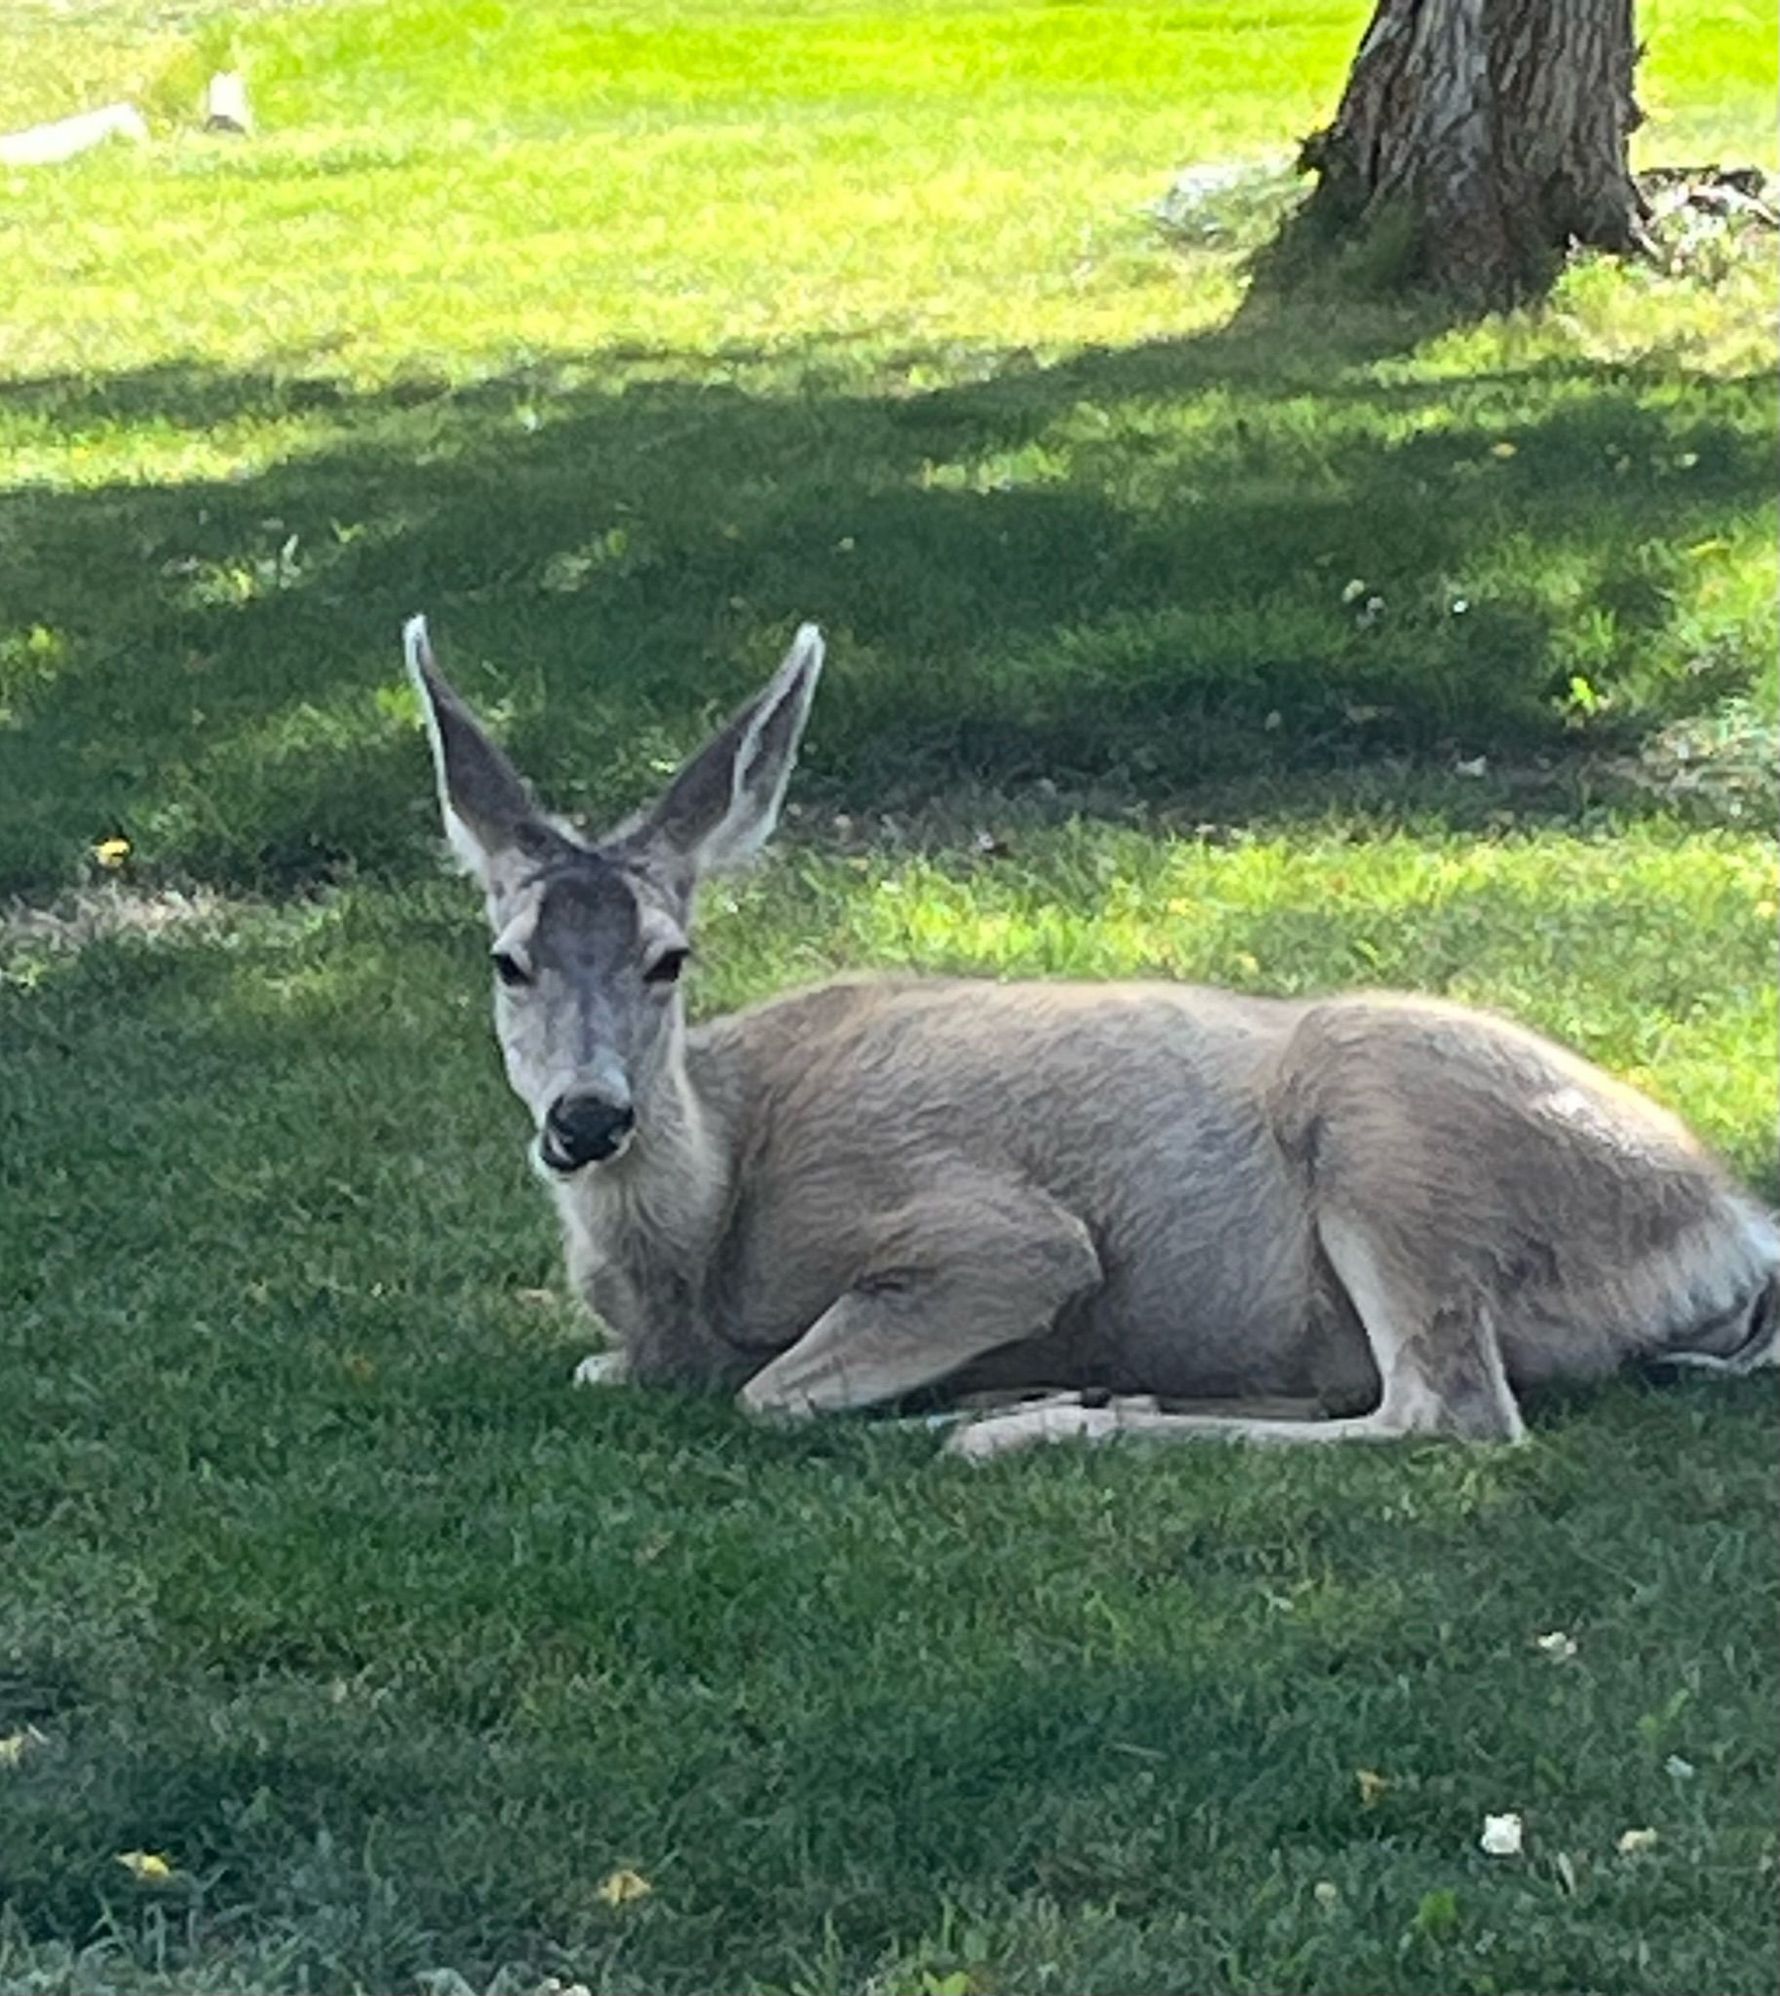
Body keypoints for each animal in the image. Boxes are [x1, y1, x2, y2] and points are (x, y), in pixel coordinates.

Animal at [403, 615, 1779, 1460]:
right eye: (508, 959)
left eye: (668, 957)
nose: (588, 1117)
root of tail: (1733, 1229)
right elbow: (613, 1371)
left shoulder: (993, 1229)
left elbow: (773, 1390)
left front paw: (998, 1394)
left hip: (1395, 1136)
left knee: (1446, 1412)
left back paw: (1030, 1419)